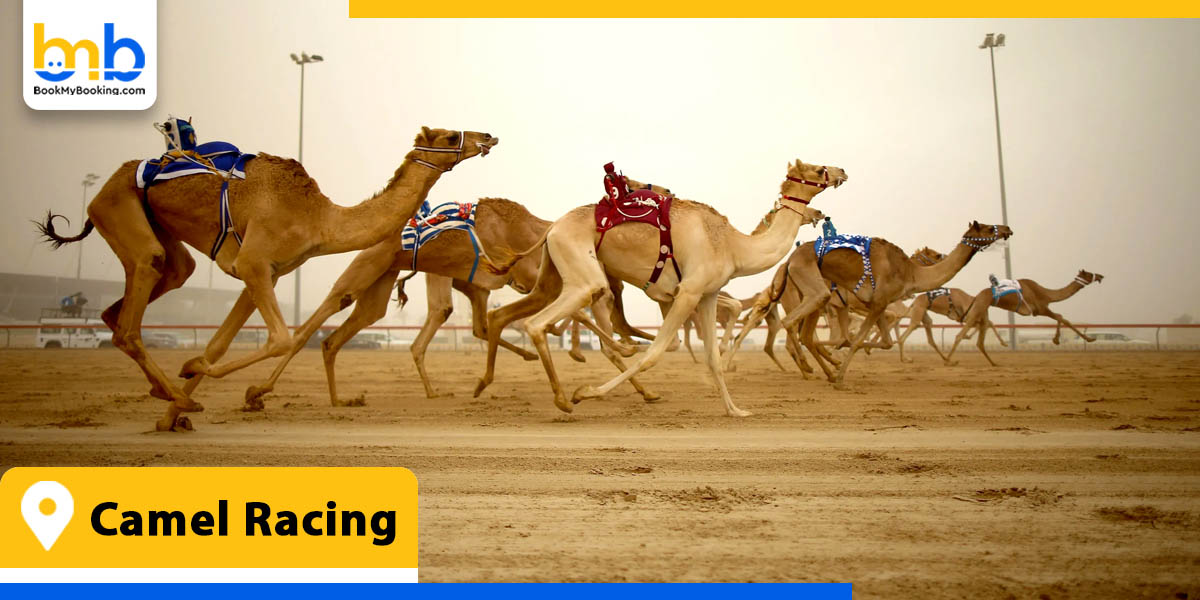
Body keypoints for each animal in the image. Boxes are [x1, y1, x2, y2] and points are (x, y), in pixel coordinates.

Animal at [37, 127, 497, 430]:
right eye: (447, 136)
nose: (488, 137)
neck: (319, 218)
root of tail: (110, 181)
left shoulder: (267, 274)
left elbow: (221, 343)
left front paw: (175, 411)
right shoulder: (254, 263)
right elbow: (281, 338)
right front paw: (205, 381)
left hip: (158, 233)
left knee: (142, 296)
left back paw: (171, 396)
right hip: (117, 205)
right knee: (130, 320)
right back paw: (176, 393)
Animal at [476, 159, 842, 416]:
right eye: (818, 168)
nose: (841, 172)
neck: (733, 246)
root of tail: (552, 227)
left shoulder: (705, 295)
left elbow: (711, 356)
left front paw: (736, 410)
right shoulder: (688, 292)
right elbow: (656, 352)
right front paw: (587, 392)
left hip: (551, 275)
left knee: (512, 316)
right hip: (583, 273)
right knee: (539, 322)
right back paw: (566, 398)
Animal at [744, 222, 1012, 387]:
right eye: (987, 227)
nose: (1007, 229)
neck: (909, 272)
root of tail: (787, 263)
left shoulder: (878, 304)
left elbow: (881, 341)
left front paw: (840, 363)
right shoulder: (875, 302)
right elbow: (855, 340)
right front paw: (841, 375)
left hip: (817, 299)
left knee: (805, 335)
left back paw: (822, 370)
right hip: (813, 293)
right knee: (792, 327)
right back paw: (811, 368)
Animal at [943, 269, 1104, 365]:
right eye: (1088, 273)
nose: (1100, 276)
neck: (1046, 293)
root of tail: (977, 296)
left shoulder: (1040, 309)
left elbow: (1060, 318)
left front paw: (1057, 339)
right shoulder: (1040, 307)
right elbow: (1061, 317)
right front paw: (1088, 339)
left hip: (981, 311)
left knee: (979, 340)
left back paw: (993, 363)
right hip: (978, 309)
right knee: (960, 335)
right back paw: (948, 360)